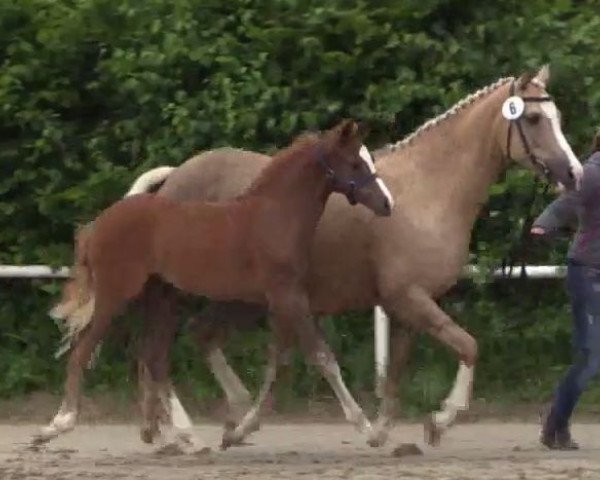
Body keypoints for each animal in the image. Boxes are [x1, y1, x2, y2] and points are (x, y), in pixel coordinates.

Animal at [36, 118, 394, 448]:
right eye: (355, 163)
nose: (387, 204)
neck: (273, 214)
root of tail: (98, 224)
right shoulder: (287, 296)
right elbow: (322, 357)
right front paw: (367, 428)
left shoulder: (284, 300)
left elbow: (282, 359)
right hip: (116, 295)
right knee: (84, 351)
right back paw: (57, 425)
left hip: (160, 297)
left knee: (152, 356)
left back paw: (181, 435)